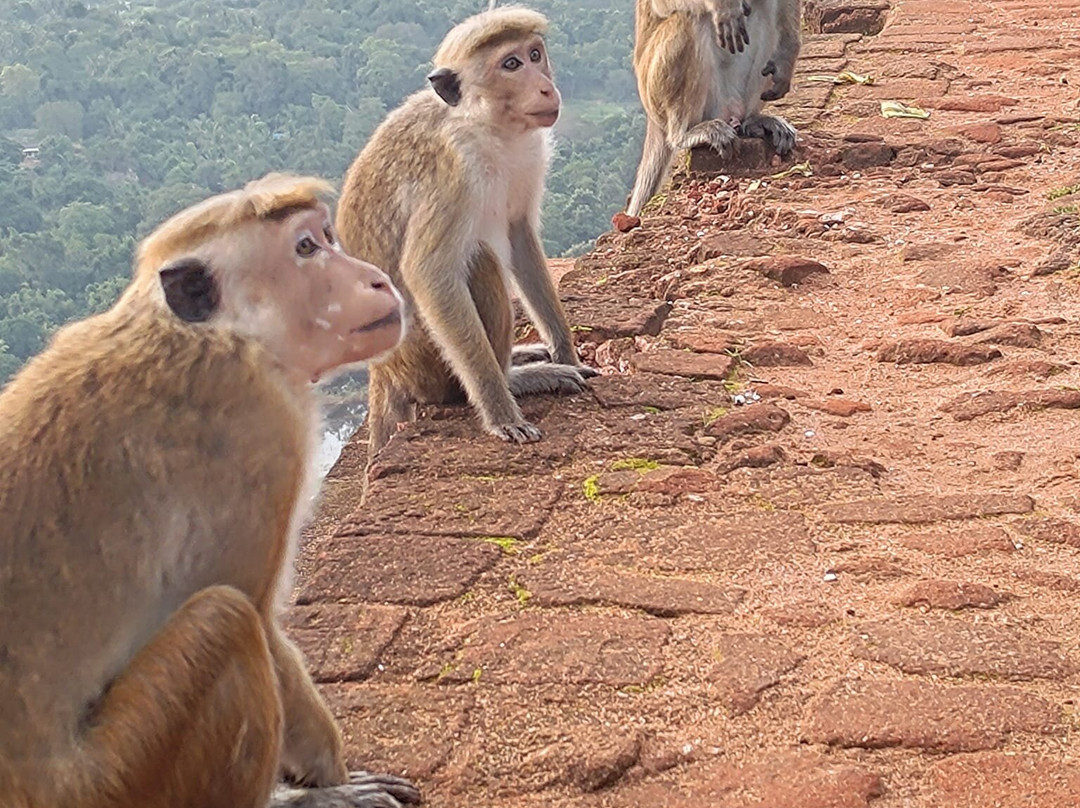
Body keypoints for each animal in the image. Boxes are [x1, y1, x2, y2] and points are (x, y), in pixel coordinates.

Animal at [0, 174, 421, 808]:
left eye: (327, 237)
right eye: (306, 248)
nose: (375, 278)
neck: (220, 335)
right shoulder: (263, 426)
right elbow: (259, 616)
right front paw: (334, 782)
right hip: (118, 778)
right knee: (226, 618)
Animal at [334, 4, 600, 460]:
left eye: (534, 55)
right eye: (510, 65)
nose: (545, 88)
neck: (487, 125)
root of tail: (385, 372)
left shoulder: (529, 152)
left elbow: (518, 235)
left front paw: (567, 350)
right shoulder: (453, 172)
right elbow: (429, 274)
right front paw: (500, 411)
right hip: (427, 363)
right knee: (479, 262)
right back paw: (511, 381)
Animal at [626, 0, 803, 219]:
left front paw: (787, 56)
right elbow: (662, 6)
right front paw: (725, 7)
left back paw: (753, 121)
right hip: (654, 87)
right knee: (687, 18)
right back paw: (684, 134)